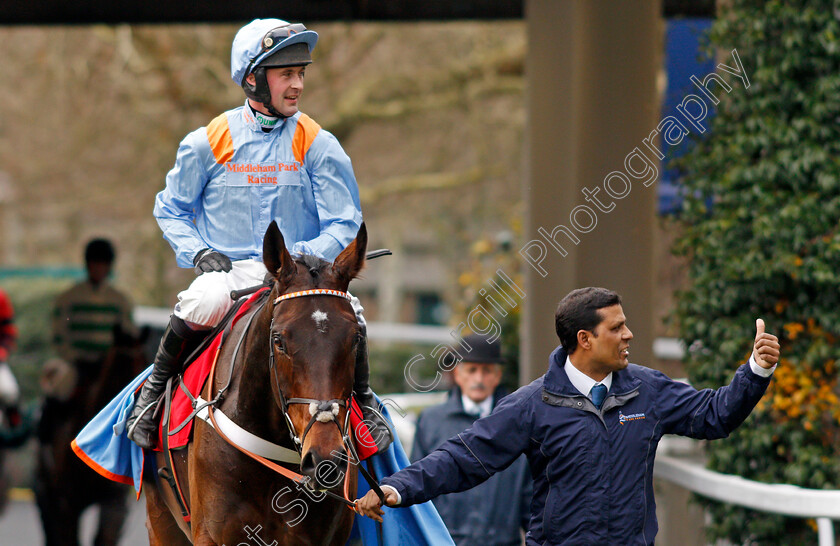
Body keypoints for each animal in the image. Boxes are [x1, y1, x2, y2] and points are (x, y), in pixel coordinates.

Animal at [144, 219, 368, 540]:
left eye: (355, 339)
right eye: (279, 341)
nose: (324, 458)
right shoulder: (212, 533)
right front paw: (208, 258)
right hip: (161, 519)